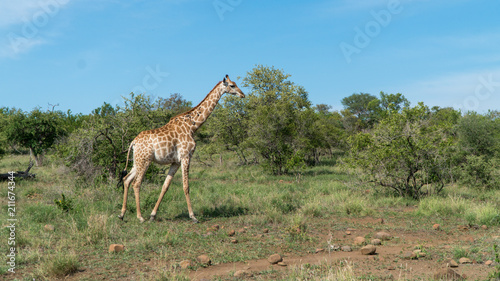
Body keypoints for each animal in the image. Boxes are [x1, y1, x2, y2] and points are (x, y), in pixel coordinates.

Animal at [121, 75, 246, 223]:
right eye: (232, 85)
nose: (243, 94)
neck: (192, 126)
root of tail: (133, 142)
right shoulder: (186, 156)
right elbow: (186, 186)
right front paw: (193, 216)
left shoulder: (175, 161)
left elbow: (165, 186)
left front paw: (153, 215)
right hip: (145, 160)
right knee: (136, 183)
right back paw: (140, 217)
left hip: (137, 161)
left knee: (126, 179)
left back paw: (122, 214)